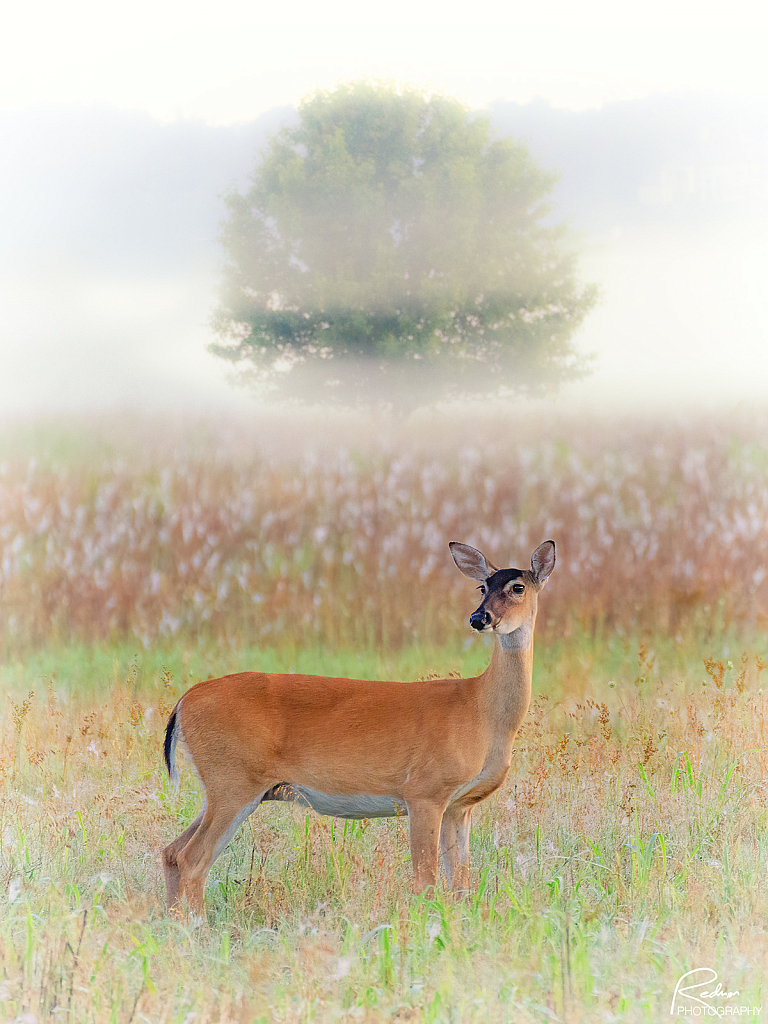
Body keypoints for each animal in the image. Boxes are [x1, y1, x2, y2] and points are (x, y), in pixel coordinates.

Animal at [163, 540, 552, 917]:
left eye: (517, 587)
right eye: (482, 586)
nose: (478, 618)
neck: (481, 710)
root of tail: (183, 702)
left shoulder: (459, 805)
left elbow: (461, 883)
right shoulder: (423, 791)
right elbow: (425, 881)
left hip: (223, 787)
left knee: (171, 852)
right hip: (234, 781)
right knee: (192, 859)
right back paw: (197, 926)